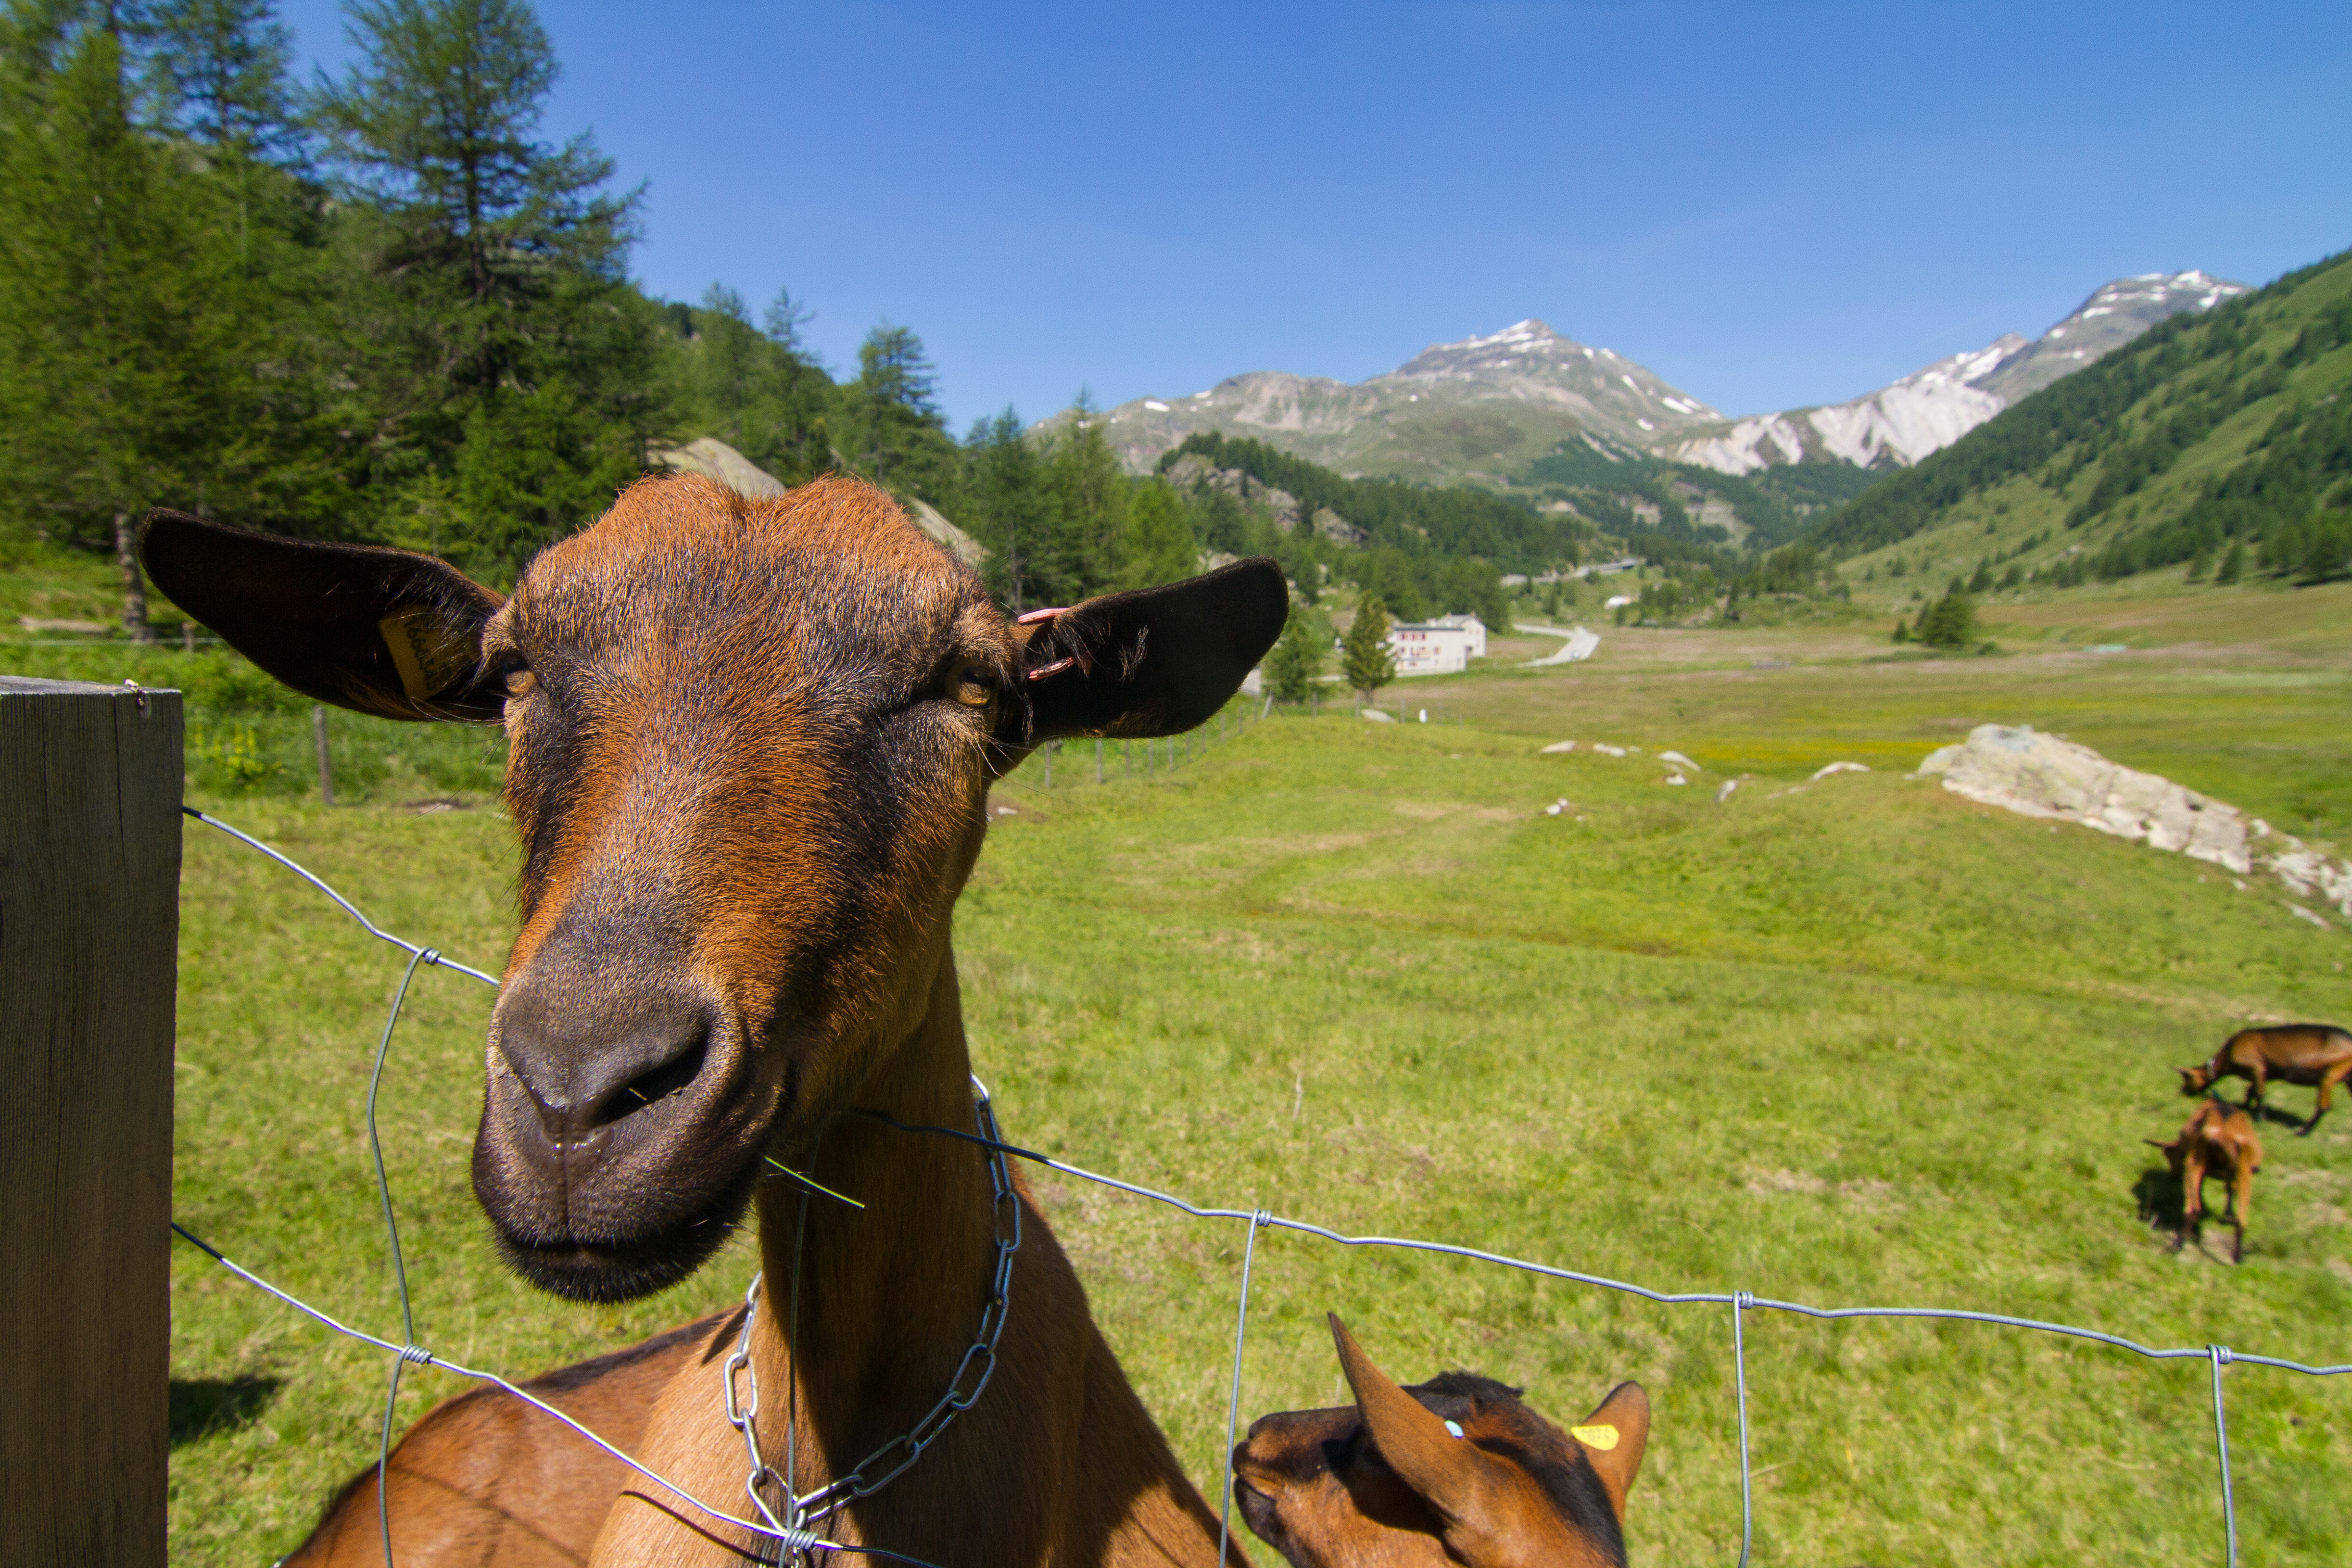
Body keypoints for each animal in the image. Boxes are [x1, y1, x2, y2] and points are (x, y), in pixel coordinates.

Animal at [2154, 1105, 2258, 1260]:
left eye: (2169, 1155)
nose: (2174, 1176)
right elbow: (2229, 1191)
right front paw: (2227, 1215)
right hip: (2244, 1174)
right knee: (2241, 1221)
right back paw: (2236, 1257)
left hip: (2194, 1163)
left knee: (2193, 1209)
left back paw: (2176, 1245)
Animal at [2173, 1024, 2352, 1133]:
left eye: (2187, 1078)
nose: (2181, 1093)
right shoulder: (2265, 1074)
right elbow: (2250, 1091)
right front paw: (2244, 1108)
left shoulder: (2257, 1068)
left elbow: (2259, 1093)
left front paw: (2260, 1118)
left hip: (2331, 1074)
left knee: (2324, 1107)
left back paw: (2302, 1132)